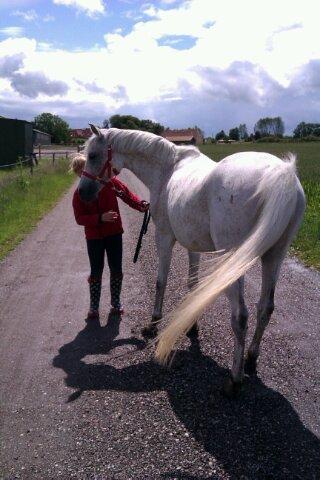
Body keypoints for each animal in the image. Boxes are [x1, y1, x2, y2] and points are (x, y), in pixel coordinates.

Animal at [77, 125, 304, 396]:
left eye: (92, 155)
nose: (82, 193)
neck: (167, 168)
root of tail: (282, 175)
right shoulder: (193, 246)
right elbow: (193, 286)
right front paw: (192, 326)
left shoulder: (164, 237)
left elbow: (161, 282)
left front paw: (153, 324)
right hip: (274, 257)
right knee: (265, 308)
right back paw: (250, 358)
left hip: (234, 262)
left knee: (241, 316)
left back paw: (234, 380)